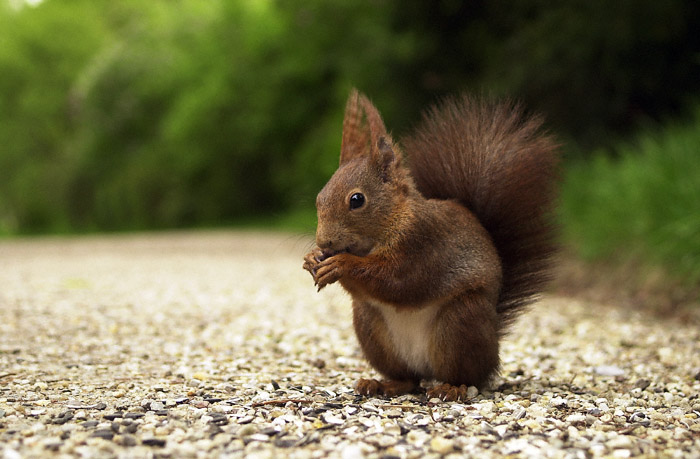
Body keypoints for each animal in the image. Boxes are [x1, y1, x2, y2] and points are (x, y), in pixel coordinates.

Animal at [300, 88, 556, 400]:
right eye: (319, 197)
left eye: (357, 200)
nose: (324, 241)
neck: (391, 222)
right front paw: (312, 258)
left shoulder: (421, 244)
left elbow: (396, 281)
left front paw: (340, 264)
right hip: (370, 327)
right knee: (409, 379)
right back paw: (381, 383)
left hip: (460, 322)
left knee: (469, 377)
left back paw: (452, 387)